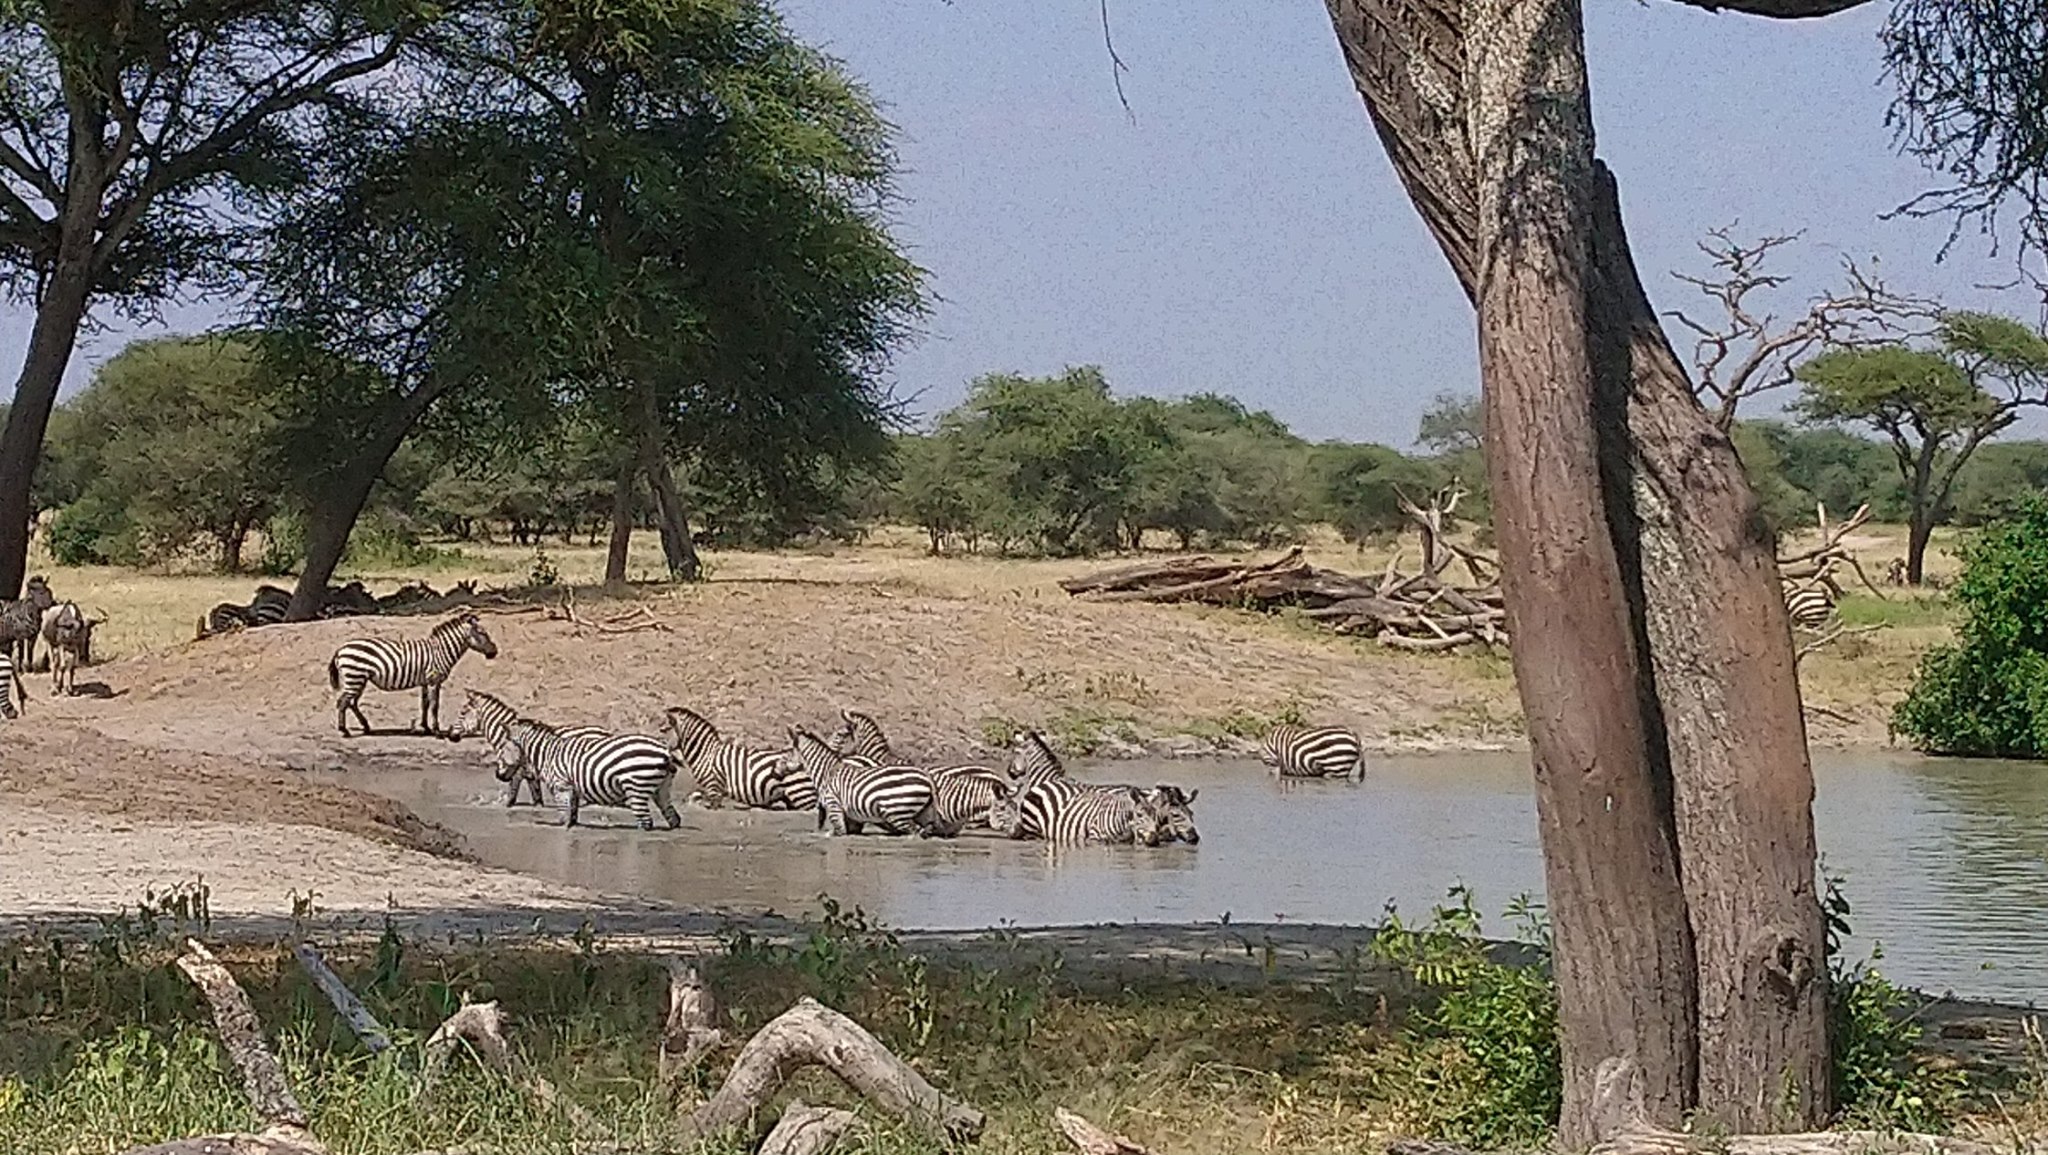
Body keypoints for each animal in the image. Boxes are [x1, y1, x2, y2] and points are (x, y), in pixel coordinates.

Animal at [331, 610, 503, 737]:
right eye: (482, 633)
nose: (494, 652)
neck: (440, 650)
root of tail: (341, 649)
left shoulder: (426, 682)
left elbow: (425, 704)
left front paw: (425, 728)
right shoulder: (434, 680)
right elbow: (434, 705)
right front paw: (436, 731)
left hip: (360, 679)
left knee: (352, 703)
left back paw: (366, 727)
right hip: (355, 677)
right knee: (343, 702)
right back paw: (344, 731)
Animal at [489, 712, 684, 831]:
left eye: (502, 749)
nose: (498, 775)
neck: (547, 754)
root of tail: (666, 751)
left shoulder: (561, 787)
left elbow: (563, 819)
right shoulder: (573, 789)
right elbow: (572, 817)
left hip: (636, 788)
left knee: (646, 822)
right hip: (661, 789)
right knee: (673, 818)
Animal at [782, 724, 937, 835]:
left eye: (788, 750)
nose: (778, 768)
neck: (826, 773)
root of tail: (927, 778)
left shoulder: (834, 808)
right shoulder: (852, 819)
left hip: (896, 813)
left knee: (914, 832)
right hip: (921, 814)